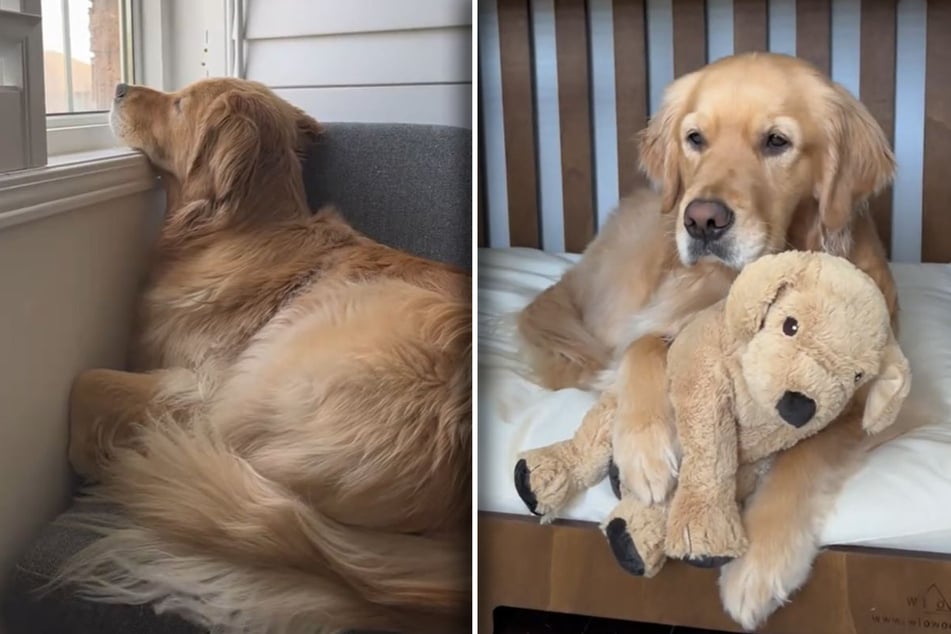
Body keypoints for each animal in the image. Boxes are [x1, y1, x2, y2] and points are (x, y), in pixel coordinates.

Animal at [54, 78, 470, 632]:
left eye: (179, 104)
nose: (119, 87)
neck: (228, 229)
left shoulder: (200, 384)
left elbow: (87, 382)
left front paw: (85, 457)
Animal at [520, 53, 916, 628]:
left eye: (776, 141)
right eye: (695, 138)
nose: (701, 220)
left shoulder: (881, 402)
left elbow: (804, 457)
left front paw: (759, 566)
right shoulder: (661, 321)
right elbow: (643, 349)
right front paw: (643, 450)